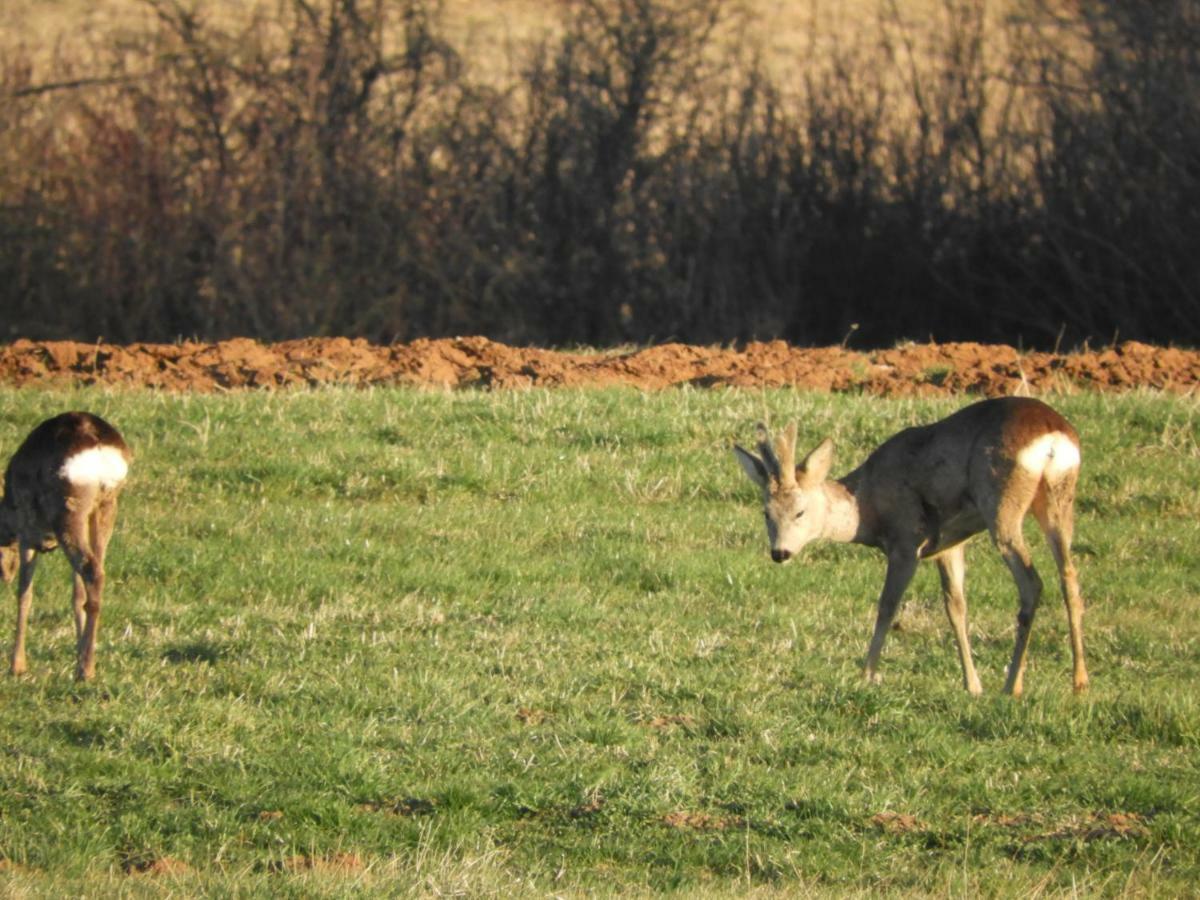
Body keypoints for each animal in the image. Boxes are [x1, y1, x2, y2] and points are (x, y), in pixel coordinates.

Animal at [0, 412, 132, 681]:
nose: (4, 575)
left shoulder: (27, 531)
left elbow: (25, 594)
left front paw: (17, 665)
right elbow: (75, 593)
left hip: (68, 509)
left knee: (91, 570)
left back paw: (85, 669)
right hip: (105, 507)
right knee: (96, 571)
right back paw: (85, 661)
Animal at [729, 398, 1089, 700]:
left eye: (800, 512)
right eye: (766, 513)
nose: (780, 553)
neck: (867, 505)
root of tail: (1053, 435)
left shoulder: (906, 539)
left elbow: (887, 606)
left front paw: (867, 674)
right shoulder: (949, 543)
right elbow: (956, 607)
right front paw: (972, 685)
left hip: (1001, 502)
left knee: (1032, 583)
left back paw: (1013, 685)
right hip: (1059, 498)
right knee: (1069, 578)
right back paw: (1079, 681)